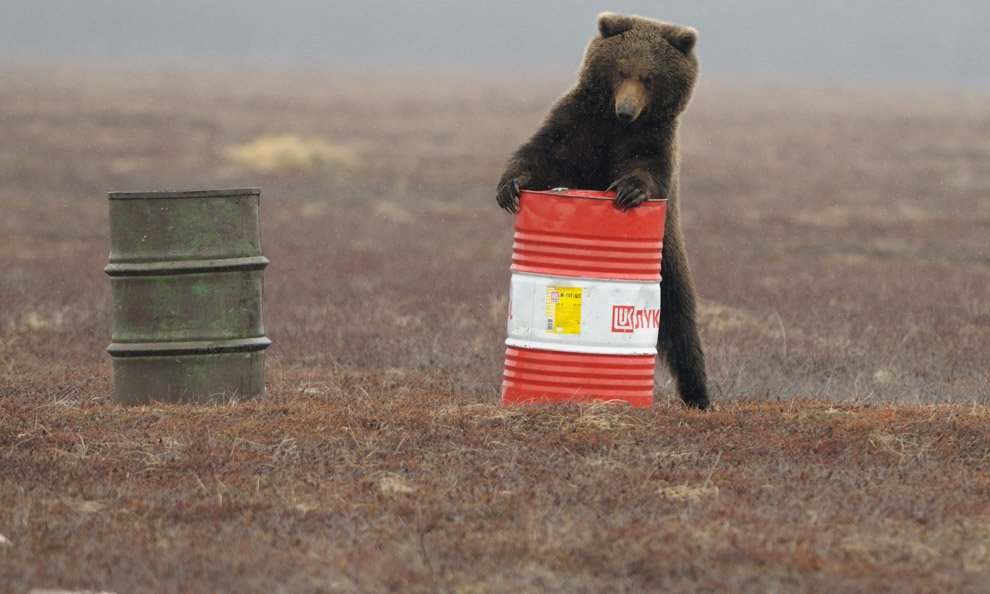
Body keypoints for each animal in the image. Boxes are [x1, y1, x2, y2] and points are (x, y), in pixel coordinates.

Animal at [500, 12, 708, 408]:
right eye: (621, 69)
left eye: (649, 76)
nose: (626, 110)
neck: (614, 127)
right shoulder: (580, 124)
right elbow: (543, 154)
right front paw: (510, 186)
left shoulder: (652, 141)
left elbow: (645, 170)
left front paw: (629, 190)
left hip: (668, 257)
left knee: (681, 325)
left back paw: (699, 395)